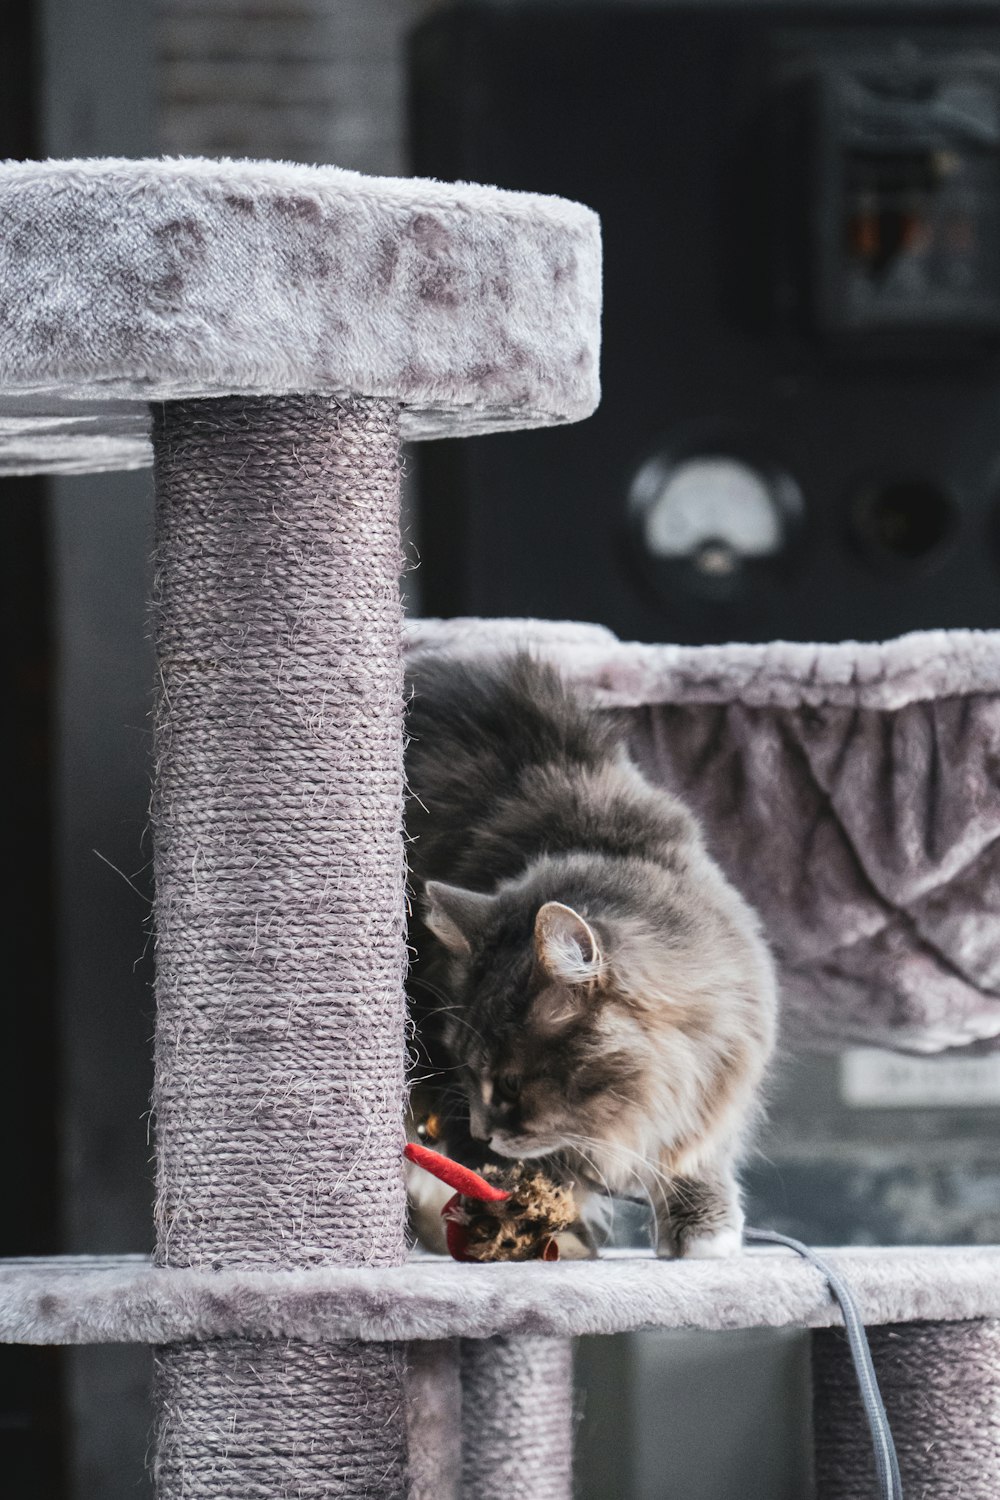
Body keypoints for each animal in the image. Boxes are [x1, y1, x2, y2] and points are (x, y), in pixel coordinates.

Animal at [401, 651, 779, 1260]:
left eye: (511, 1084)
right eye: (468, 1071)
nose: (484, 1129)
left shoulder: (715, 1080)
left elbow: (694, 1157)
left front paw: (702, 1233)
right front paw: (539, 1226)